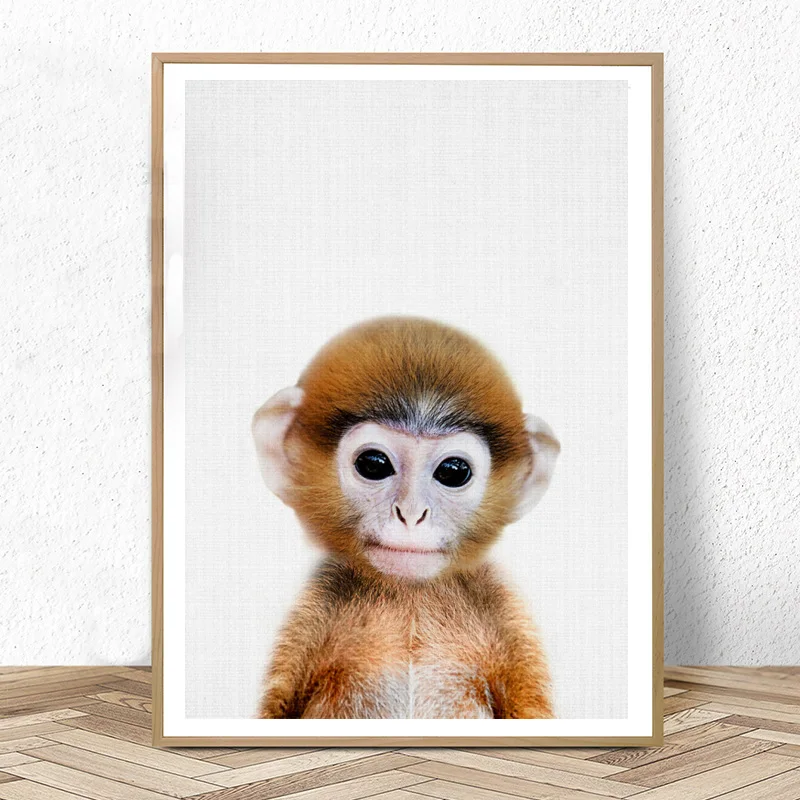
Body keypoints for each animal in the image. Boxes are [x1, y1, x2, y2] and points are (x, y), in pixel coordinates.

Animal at [252, 316, 560, 719]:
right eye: (373, 464)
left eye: (453, 471)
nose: (411, 515)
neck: (410, 596)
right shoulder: (315, 605)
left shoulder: (503, 609)